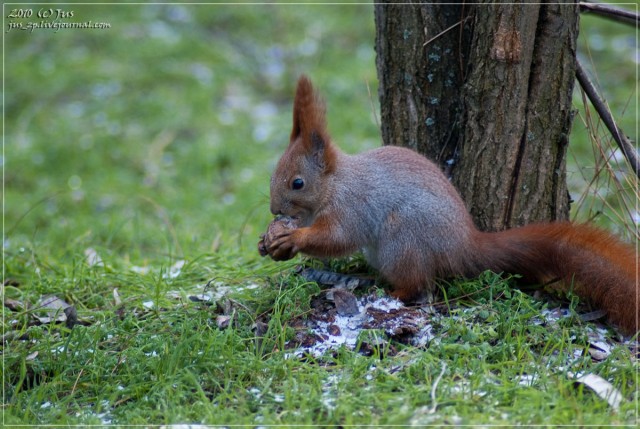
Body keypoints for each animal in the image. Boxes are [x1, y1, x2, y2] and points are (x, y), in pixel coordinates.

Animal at [262, 76, 636, 334]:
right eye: (275, 170)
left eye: (297, 183)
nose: (274, 210)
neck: (334, 184)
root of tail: (464, 245)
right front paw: (271, 242)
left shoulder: (352, 207)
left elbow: (336, 238)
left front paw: (293, 238)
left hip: (403, 240)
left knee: (417, 283)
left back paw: (391, 293)